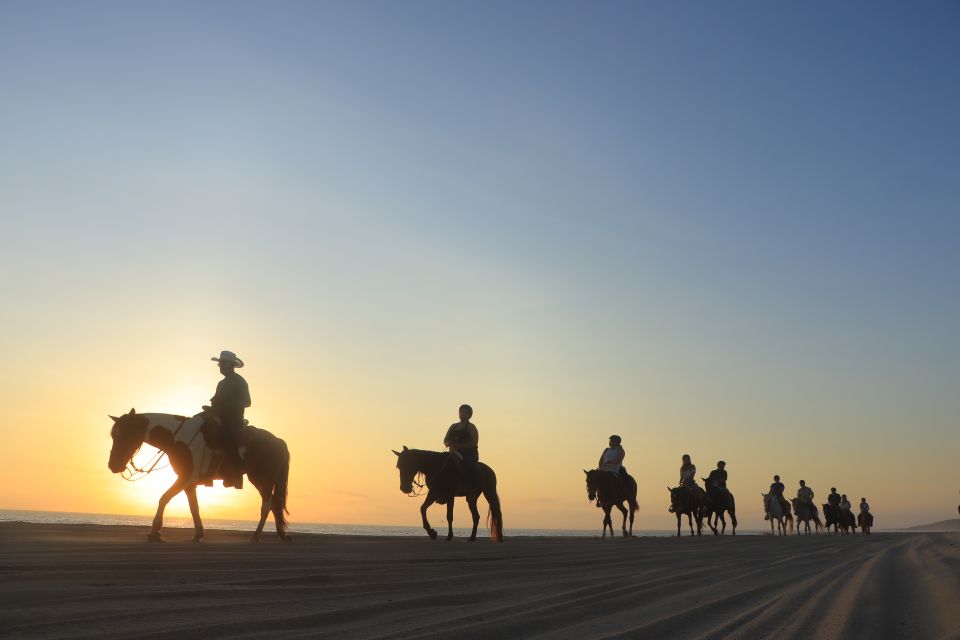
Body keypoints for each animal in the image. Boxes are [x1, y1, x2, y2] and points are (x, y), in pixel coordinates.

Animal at [107, 410, 290, 540]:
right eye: (113, 435)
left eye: (124, 434)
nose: (112, 466)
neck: (177, 438)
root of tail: (279, 442)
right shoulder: (189, 482)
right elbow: (193, 506)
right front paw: (199, 533)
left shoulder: (185, 478)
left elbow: (164, 498)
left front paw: (155, 530)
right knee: (274, 503)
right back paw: (281, 534)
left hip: (262, 479)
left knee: (266, 505)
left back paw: (257, 535)